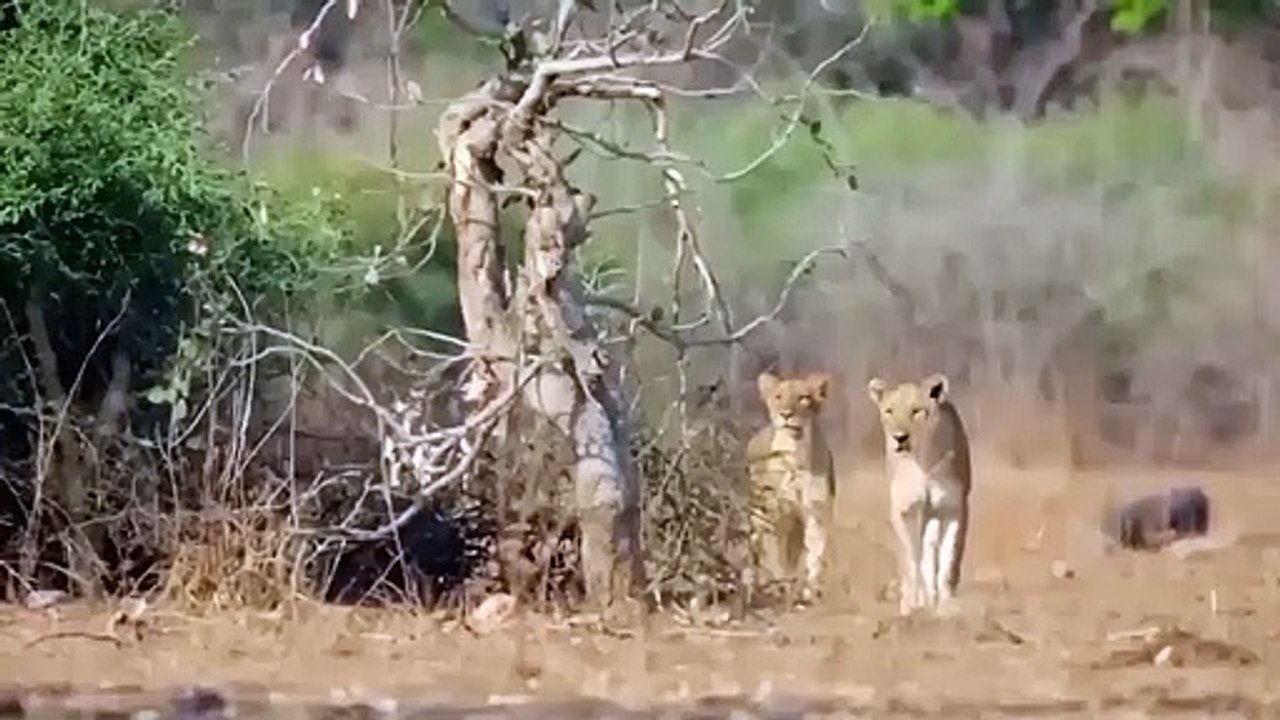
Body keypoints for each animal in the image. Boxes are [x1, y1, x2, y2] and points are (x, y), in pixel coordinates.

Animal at [745, 370, 837, 604]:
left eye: (803, 398)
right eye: (778, 397)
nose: (785, 414)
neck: (795, 453)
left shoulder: (815, 513)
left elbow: (815, 555)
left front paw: (811, 591)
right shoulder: (773, 515)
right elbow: (774, 555)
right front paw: (780, 587)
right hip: (758, 515)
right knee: (757, 548)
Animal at [867, 373, 973, 616]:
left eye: (916, 411)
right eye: (889, 411)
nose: (899, 437)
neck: (923, 459)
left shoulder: (953, 508)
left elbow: (948, 555)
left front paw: (946, 604)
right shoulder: (904, 509)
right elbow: (911, 558)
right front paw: (912, 604)